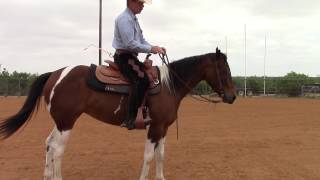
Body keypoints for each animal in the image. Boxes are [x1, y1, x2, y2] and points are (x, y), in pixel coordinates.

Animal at [0, 47, 235, 180]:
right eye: (224, 70)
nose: (232, 97)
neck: (169, 86)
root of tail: (55, 74)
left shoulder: (163, 129)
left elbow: (160, 156)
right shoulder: (154, 128)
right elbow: (149, 156)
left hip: (59, 122)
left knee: (48, 144)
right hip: (67, 122)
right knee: (57, 150)